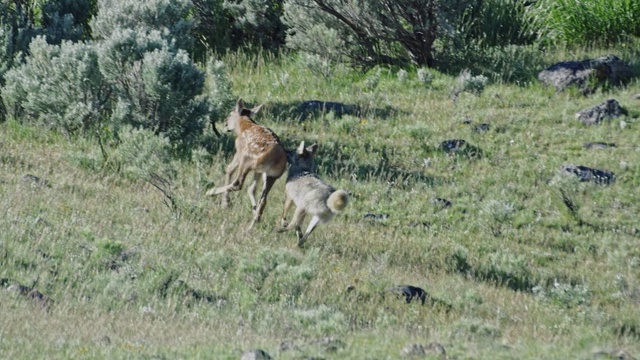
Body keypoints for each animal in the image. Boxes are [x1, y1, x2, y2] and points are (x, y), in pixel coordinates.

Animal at [206, 98, 286, 228]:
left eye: (230, 113)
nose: (225, 123)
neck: (243, 127)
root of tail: (276, 157)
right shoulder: (259, 170)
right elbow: (252, 189)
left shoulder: (239, 151)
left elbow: (229, 169)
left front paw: (225, 203)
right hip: (272, 175)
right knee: (263, 199)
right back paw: (253, 223)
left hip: (247, 161)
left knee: (238, 183)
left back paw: (210, 192)